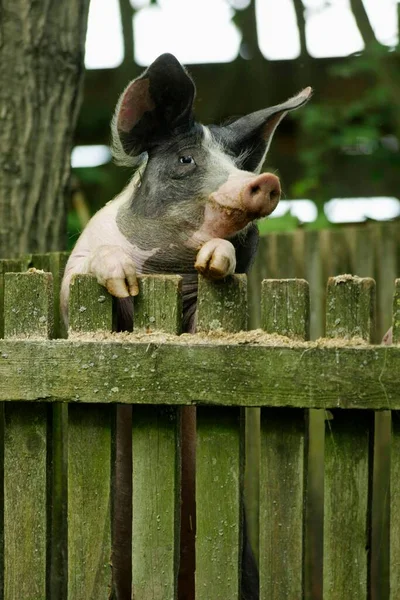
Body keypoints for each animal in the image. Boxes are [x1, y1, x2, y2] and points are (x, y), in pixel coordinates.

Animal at [61, 52, 312, 600]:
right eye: (185, 161)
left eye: (240, 166)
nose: (265, 181)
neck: (168, 270)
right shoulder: (69, 298)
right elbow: (80, 292)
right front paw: (123, 279)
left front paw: (214, 260)